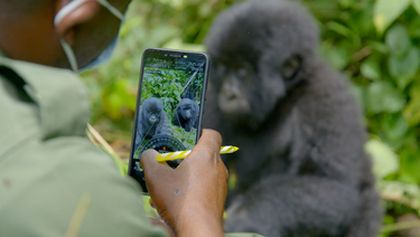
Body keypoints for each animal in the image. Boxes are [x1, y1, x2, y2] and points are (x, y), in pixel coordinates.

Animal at [205, 0, 382, 237]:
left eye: (242, 71)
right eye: (224, 68)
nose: (228, 94)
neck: (285, 94)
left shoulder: (324, 96)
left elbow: (331, 184)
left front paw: (243, 217)